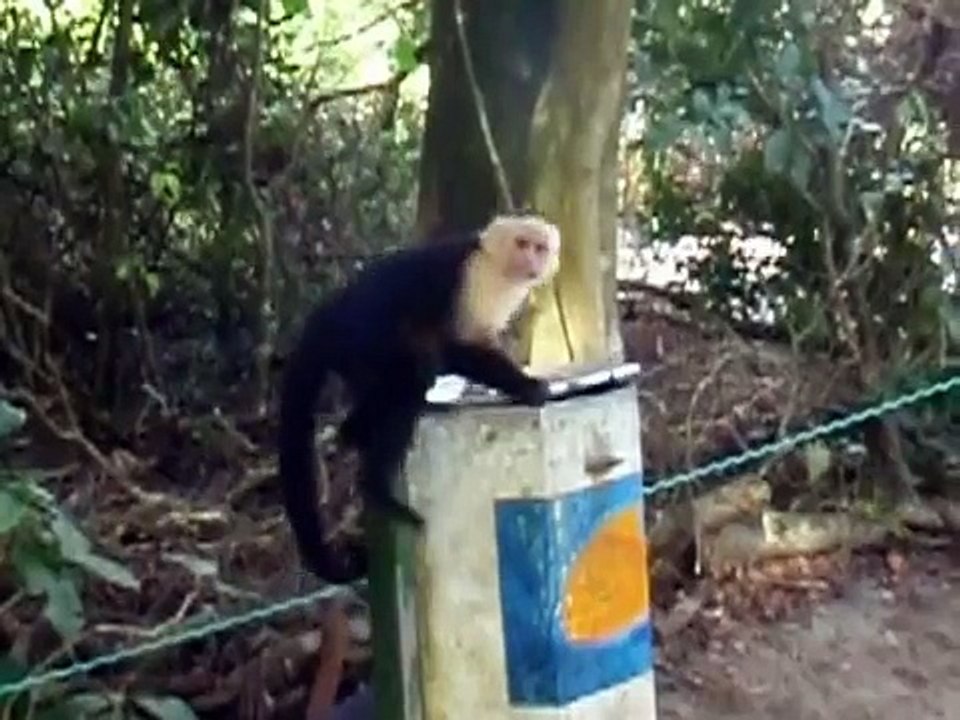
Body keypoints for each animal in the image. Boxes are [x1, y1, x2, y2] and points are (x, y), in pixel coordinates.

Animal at [278, 213, 561, 584]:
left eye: (540, 247)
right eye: (522, 243)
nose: (532, 260)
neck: (498, 269)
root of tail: (325, 315)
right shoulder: (475, 279)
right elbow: (459, 346)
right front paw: (527, 386)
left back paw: (358, 432)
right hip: (360, 339)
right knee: (408, 378)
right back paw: (375, 483)